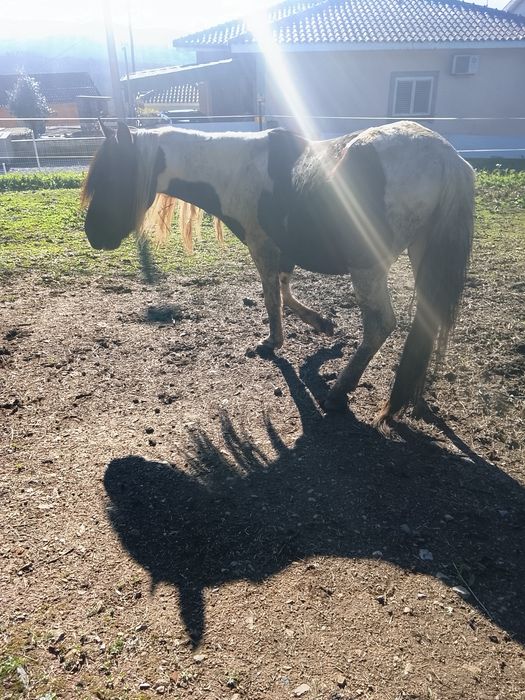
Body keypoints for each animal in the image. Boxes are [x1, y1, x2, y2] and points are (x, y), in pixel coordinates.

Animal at [82, 120, 474, 422]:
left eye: (114, 177)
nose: (94, 235)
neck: (236, 169)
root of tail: (445, 157)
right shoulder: (284, 250)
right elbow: (286, 290)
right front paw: (321, 324)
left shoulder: (263, 247)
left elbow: (272, 297)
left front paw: (273, 342)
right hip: (422, 256)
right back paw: (414, 396)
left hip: (368, 268)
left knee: (380, 325)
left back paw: (340, 390)